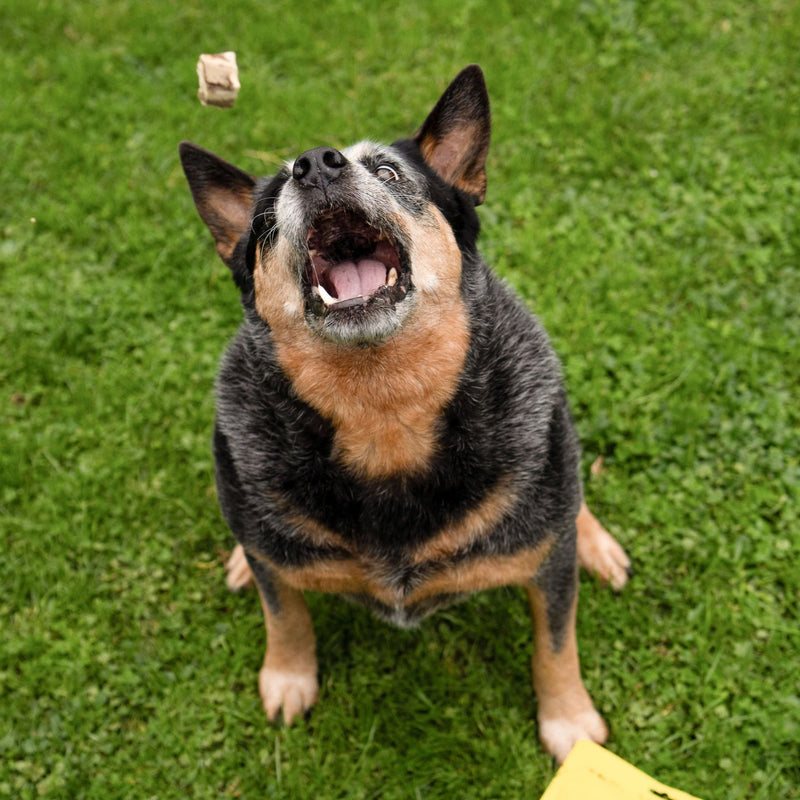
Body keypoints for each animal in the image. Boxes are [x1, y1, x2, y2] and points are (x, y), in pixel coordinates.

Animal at [180, 65, 632, 764]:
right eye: (265, 218)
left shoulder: (547, 567)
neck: (384, 412)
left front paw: (570, 721)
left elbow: (556, 642)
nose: (315, 163)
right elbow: (284, 612)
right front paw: (287, 676)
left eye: (389, 171)